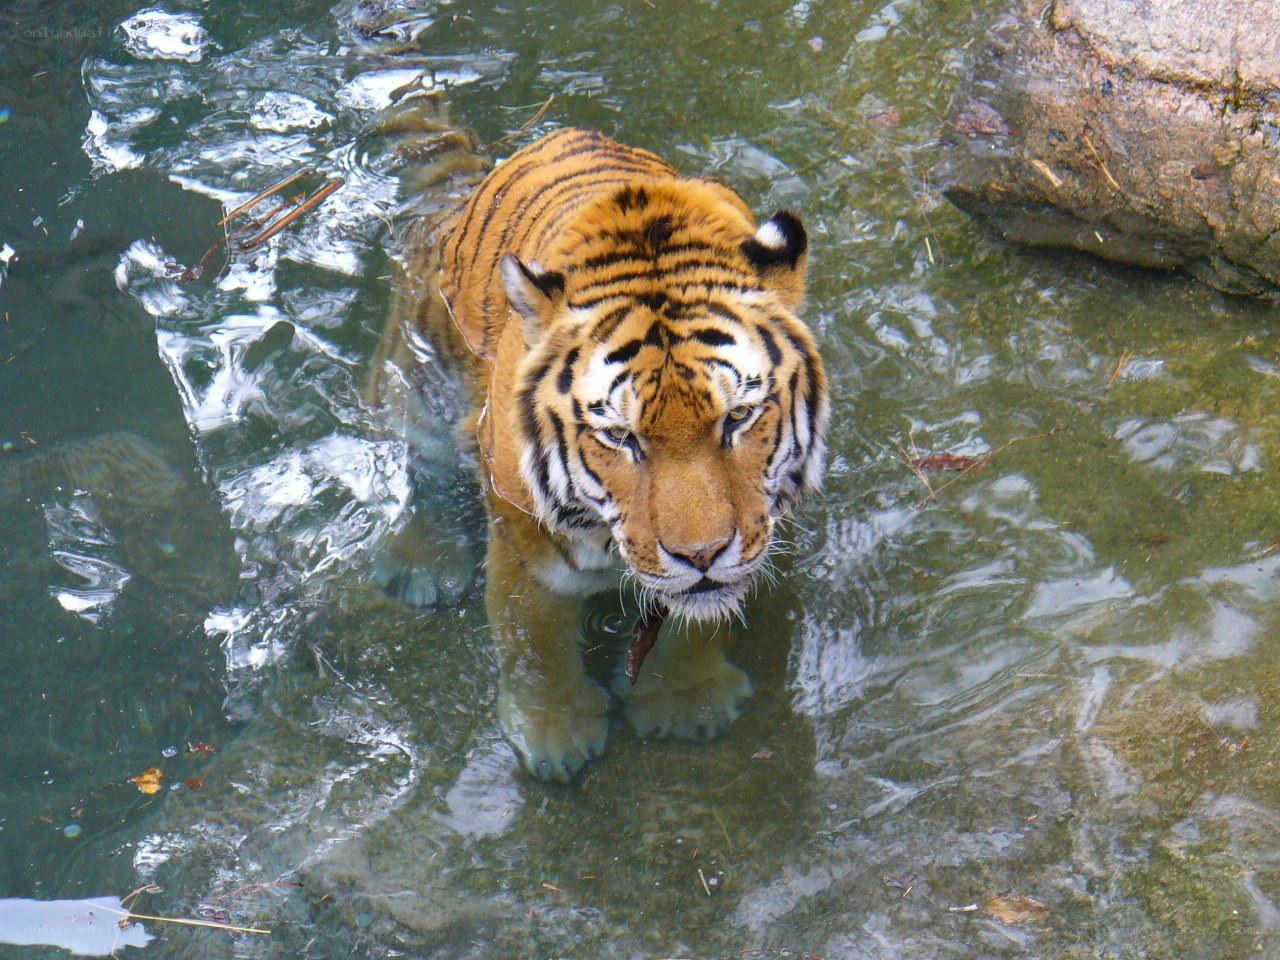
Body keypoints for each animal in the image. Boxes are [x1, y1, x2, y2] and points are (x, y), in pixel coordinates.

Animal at [374, 124, 829, 781]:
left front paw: (688, 703)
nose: (701, 554)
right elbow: (531, 640)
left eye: (738, 418)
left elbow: (698, 617)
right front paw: (553, 735)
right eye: (621, 436)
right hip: (416, 374)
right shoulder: (524, 542)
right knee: (422, 461)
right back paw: (418, 563)